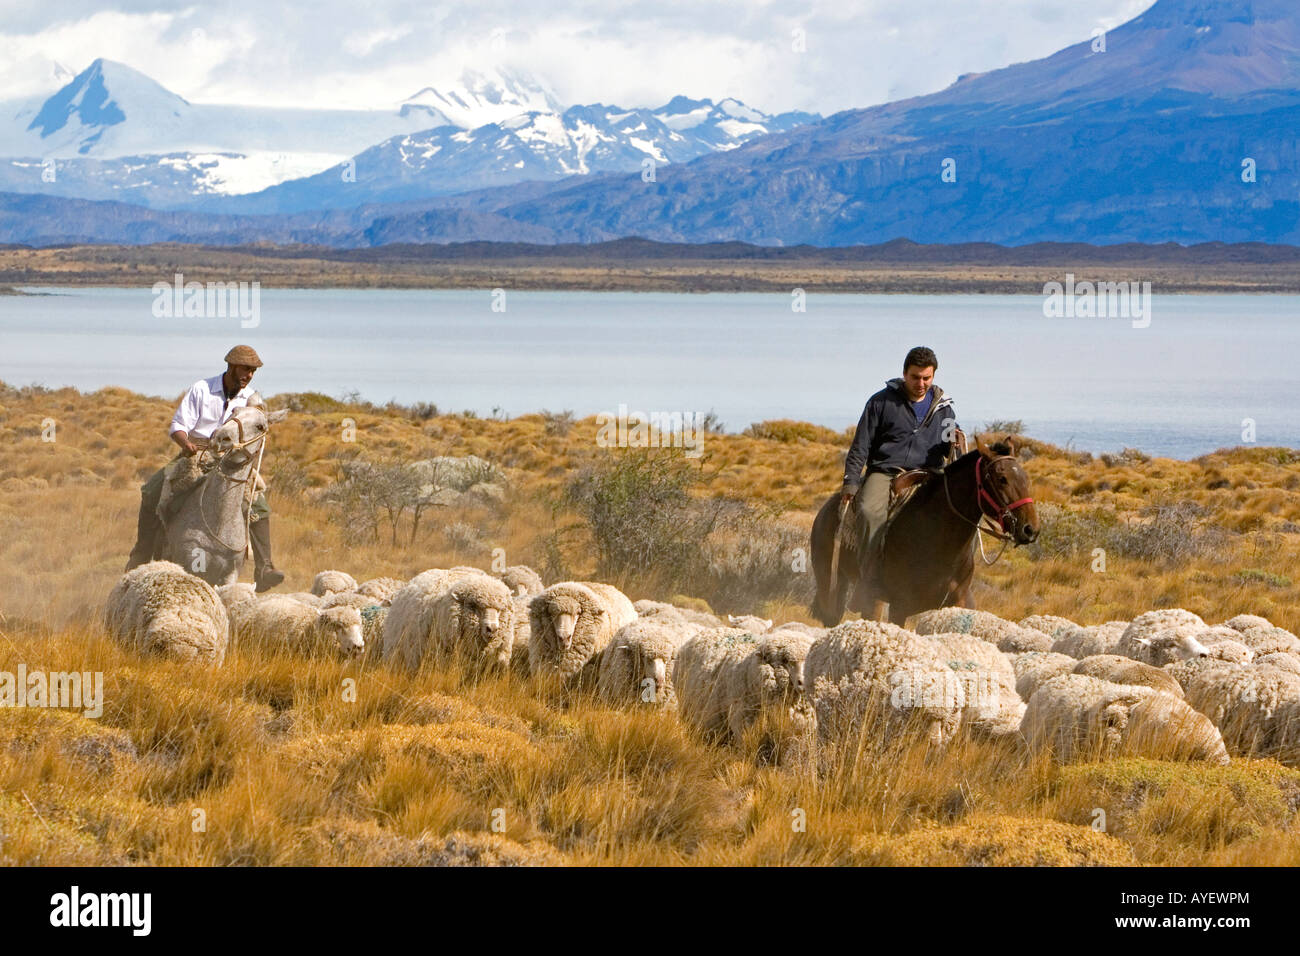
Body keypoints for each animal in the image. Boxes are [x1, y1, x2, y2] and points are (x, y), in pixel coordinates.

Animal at [811, 434, 1034, 629]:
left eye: (1025, 477)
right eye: (1002, 478)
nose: (1030, 529)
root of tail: (827, 509)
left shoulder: (960, 602)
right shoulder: (900, 606)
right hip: (834, 585)